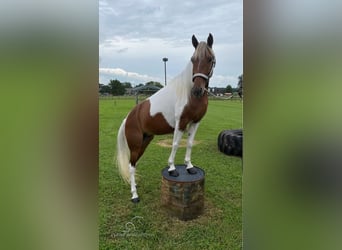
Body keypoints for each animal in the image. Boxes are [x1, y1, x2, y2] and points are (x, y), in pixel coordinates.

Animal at [116, 33, 215, 202]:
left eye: (209, 59)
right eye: (193, 59)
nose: (197, 90)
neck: (188, 94)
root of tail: (128, 118)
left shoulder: (195, 122)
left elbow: (189, 143)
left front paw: (189, 167)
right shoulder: (181, 123)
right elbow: (175, 144)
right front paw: (172, 168)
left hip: (145, 141)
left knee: (134, 164)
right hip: (135, 144)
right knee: (131, 165)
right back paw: (134, 195)